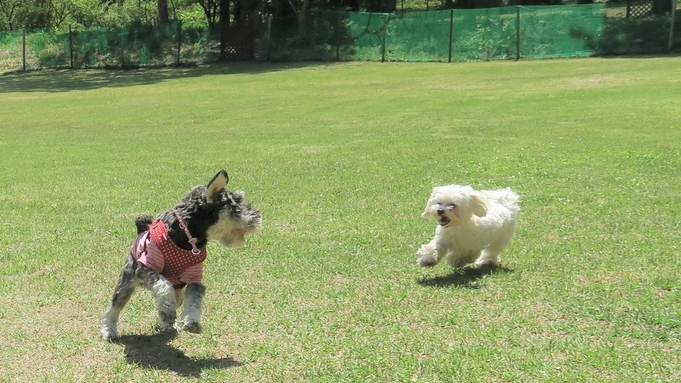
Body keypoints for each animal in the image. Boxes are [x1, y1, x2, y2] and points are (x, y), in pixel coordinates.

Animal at [100, 171, 260, 342]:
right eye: (237, 205)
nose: (257, 215)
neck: (187, 238)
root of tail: (140, 231)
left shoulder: (194, 277)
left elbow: (194, 299)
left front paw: (192, 322)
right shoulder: (145, 268)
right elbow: (163, 285)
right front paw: (168, 312)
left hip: (177, 293)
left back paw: (167, 326)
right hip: (127, 283)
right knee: (114, 308)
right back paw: (109, 331)